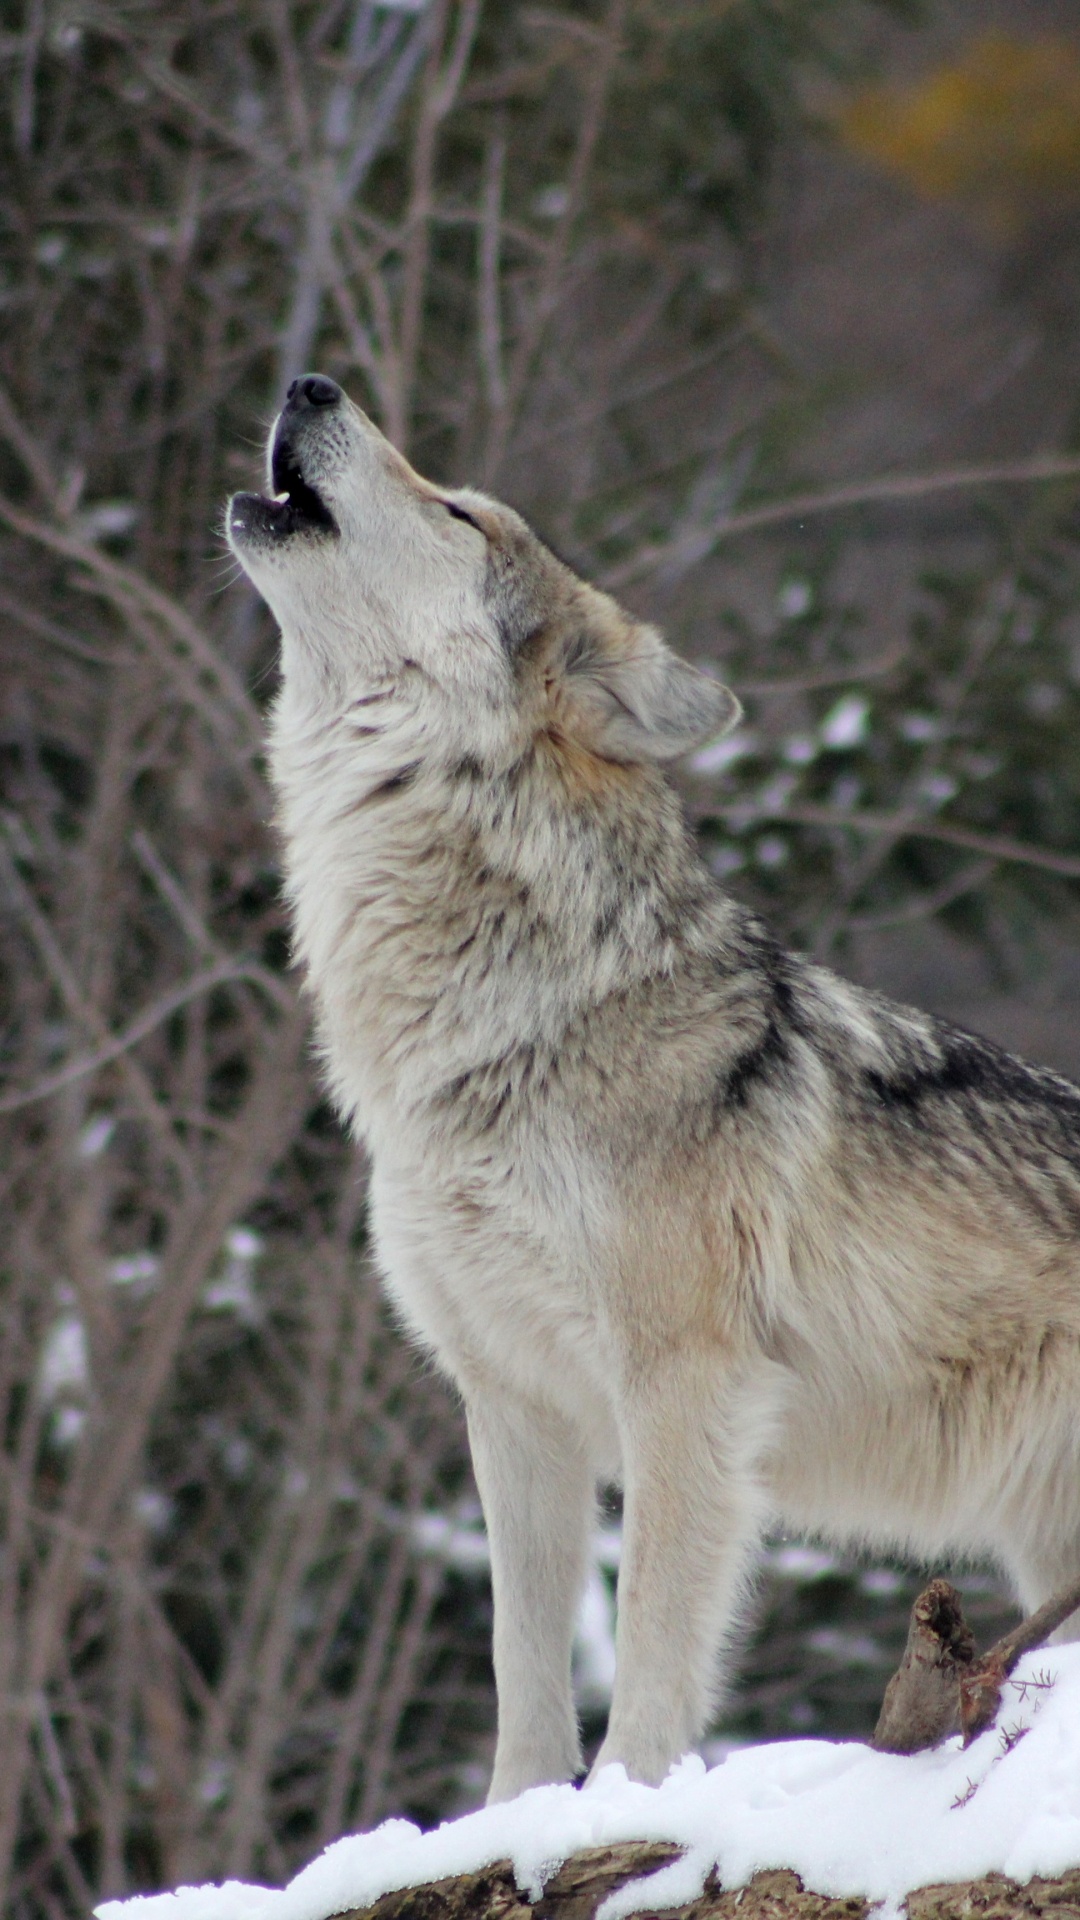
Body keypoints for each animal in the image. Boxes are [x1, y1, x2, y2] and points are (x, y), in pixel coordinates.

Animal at [228, 374, 1080, 1803]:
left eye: (459, 511)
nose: (310, 384)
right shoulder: (511, 1403)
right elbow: (524, 1662)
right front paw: (513, 1823)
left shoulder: (685, 1386)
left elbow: (650, 1643)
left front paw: (627, 1804)